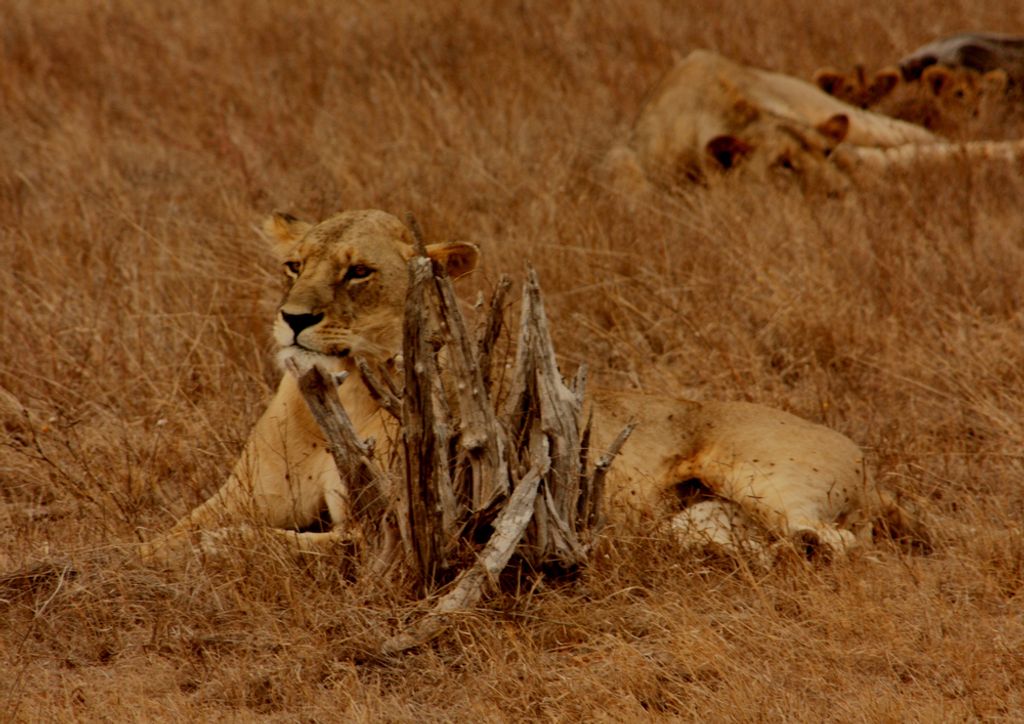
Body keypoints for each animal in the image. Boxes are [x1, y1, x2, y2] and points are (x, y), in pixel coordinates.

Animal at [140, 209, 924, 568]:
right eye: (293, 265)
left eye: (358, 271)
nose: (293, 319)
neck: (342, 392)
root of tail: (869, 461)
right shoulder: (239, 494)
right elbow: (171, 531)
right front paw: (130, 555)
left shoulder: (390, 531)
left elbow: (261, 543)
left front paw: (204, 554)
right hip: (704, 516)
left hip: (763, 474)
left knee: (838, 541)